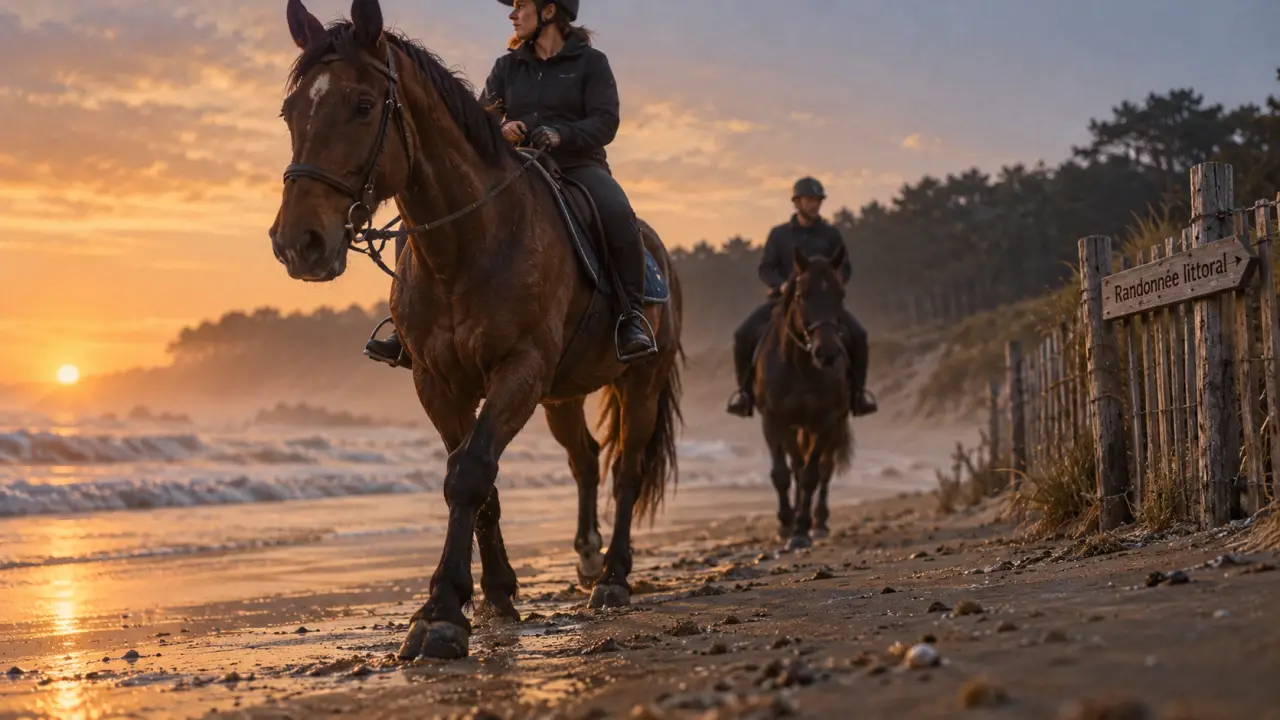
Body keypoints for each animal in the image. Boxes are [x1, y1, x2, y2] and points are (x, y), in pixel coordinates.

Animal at [270, 0, 683, 660]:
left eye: (363, 106)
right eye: (291, 112)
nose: (298, 244)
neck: (467, 244)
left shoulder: (519, 370)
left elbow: (468, 475)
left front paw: (441, 613)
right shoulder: (440, 383)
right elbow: (476, 478)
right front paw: (494, 595)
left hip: (638, 382)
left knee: (626, 472)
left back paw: (614, 579)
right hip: (562, 396)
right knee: (586, 460)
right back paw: (588, 559)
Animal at [751, 246, 854, 551]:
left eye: (840, 294)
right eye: (802, 295)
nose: (827, 352)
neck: (800, 366)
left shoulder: (826, 422)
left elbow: (811, 475)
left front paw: (801, 528)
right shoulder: (773, 421)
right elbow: (782, 474)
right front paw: (786, 524)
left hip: (835, 427)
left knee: (825, 469)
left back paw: (819, 522)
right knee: (796, 466)